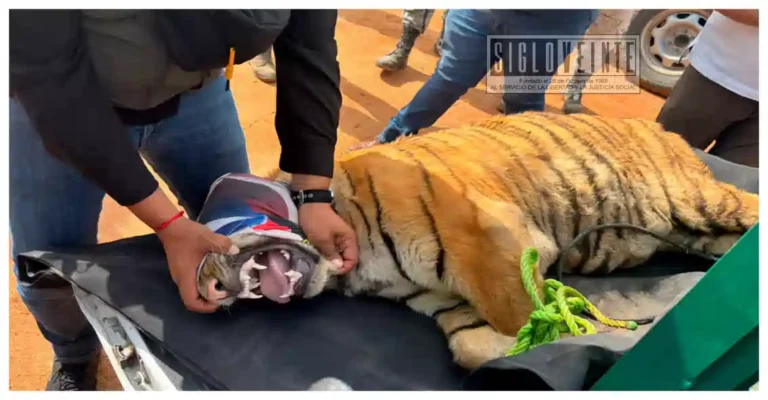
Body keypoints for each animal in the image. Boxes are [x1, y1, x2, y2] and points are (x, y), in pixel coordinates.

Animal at [197, 111, 759, 370]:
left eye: (219, 214)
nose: (203, 286)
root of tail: (665, 130)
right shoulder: (443, 297)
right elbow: (474, 345)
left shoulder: (489, 237)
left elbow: (524, 315)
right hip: (692, 230)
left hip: (702, 201)